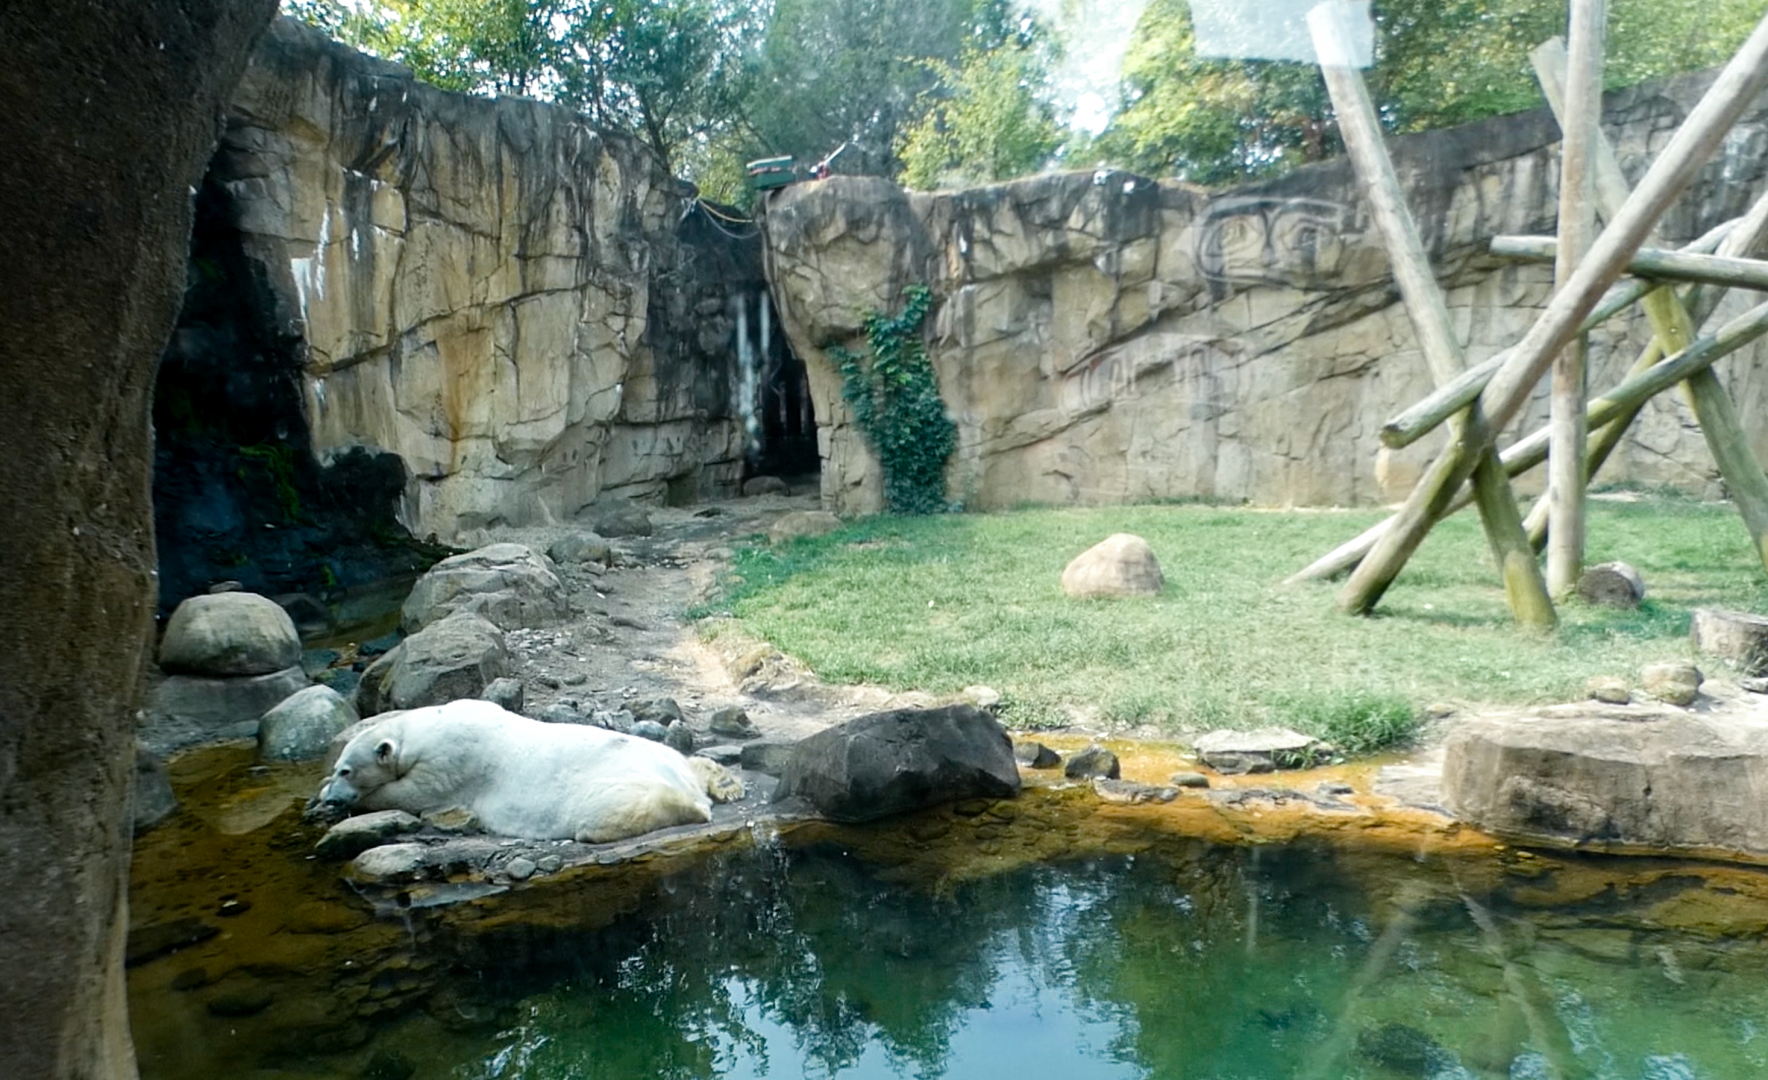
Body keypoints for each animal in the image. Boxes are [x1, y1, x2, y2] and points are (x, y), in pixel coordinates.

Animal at [316, 699, 744, 844]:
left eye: (346, 771)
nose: (332, 795)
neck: (422, 729)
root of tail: (681, 780)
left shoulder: (451, 760)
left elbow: (412, 794)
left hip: (617, 783)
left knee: (604, 813)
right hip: (665, 756)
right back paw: (723, 783)